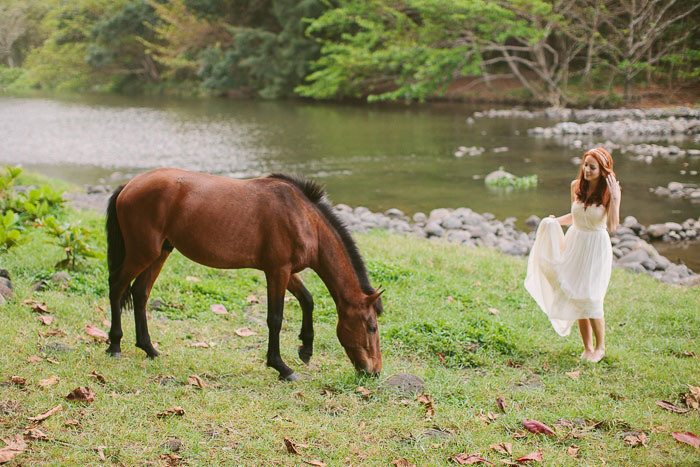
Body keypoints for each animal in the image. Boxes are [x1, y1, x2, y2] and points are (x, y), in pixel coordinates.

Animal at [105, 168, 382, 380]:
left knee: (140, 293)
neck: (302, 217)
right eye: (371, 327)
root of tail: (129, 185)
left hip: (160, 252)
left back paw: (149, 349)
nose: (375, 371)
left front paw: (306, 348)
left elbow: (307, 300)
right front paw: (281, 367)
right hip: (142, 253)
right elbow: (275, 319)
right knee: (117, 286)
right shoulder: (277, 271)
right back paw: (115, 345)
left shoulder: (287, 271)